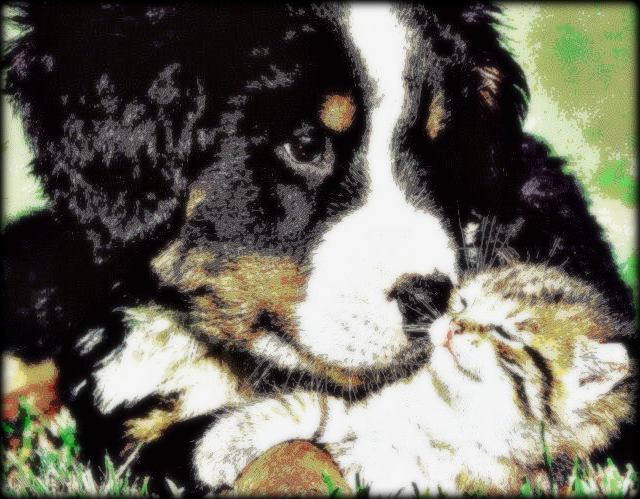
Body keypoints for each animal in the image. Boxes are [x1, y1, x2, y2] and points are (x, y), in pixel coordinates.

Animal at [193, 263, 635, 495]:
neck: (445, 413)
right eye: (463, 303)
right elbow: (307, 407)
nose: (453, 326)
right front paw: (220, 449)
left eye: (506, 333)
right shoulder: (361, 413)